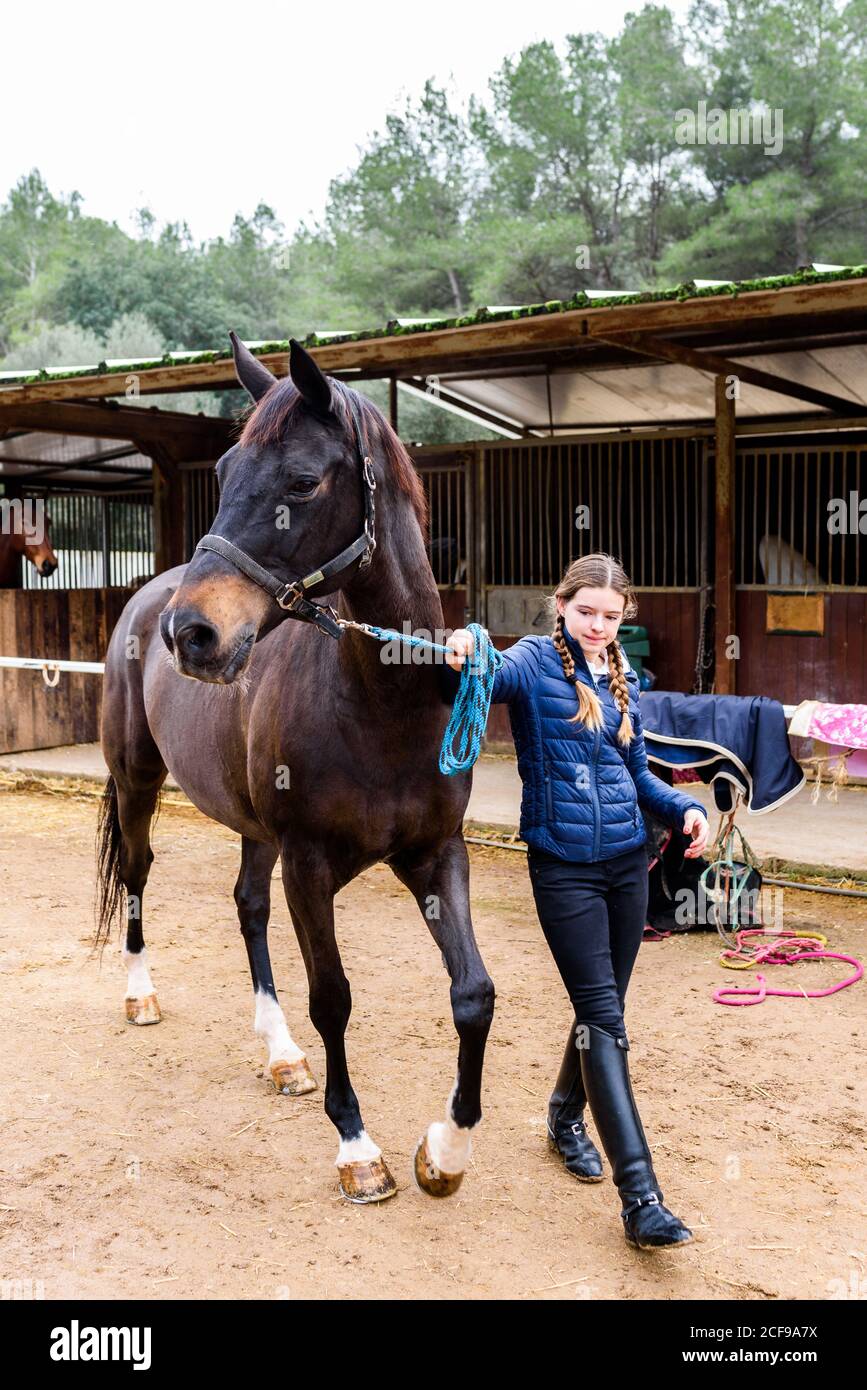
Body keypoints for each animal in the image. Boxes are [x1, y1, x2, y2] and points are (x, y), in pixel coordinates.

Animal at [95, 333, 495, 1203]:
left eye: (303, 482)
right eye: (222, 473)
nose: (191, 635)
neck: (382, 703)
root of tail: (148, 595)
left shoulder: (435, 855)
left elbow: (473, 995)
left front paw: (446, 1152)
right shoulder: (309, 867)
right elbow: (333, 999)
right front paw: (357, 1149)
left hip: (254, 828)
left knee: (246, 906)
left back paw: (280, 1056)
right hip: (139, 783)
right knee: (139, 874)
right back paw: (140, 997)